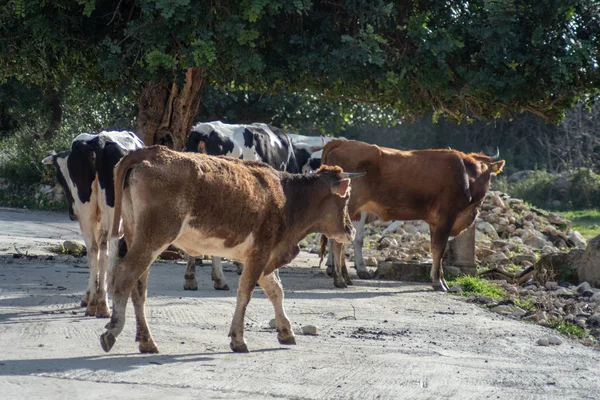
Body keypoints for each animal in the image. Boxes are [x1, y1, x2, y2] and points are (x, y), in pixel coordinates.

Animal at [42, 130, 144, 316]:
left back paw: (92, 304)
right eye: (59, 178)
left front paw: (90, 296)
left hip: (85, 210)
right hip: (111, 208)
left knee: (93, 250)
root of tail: (99, 142)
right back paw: (103, 304)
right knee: (105, 250)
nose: (71, 213)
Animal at [99, 146, 360, 354]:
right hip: (154, 237)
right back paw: (113, 331)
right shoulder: (260, 253)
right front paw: (238, 339)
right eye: (346, 197)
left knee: (139, 287)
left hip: (137, 235)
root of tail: (151, 151)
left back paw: (146, 341)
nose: (351, 230)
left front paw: (285, 331)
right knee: (125, 276)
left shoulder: (264, 255)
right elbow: (245, 293)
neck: (287, 197)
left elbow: (276, 290)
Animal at [322, 140, 504, 290]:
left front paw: (441, 280)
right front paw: (438, 283)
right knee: (338, 242)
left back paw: (344, 277)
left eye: (489, 172)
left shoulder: (435, 222)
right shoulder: (446, 218)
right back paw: (340, 279)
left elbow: (437, 250)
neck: (467, 176)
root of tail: (343, 142)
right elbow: (439, 248)